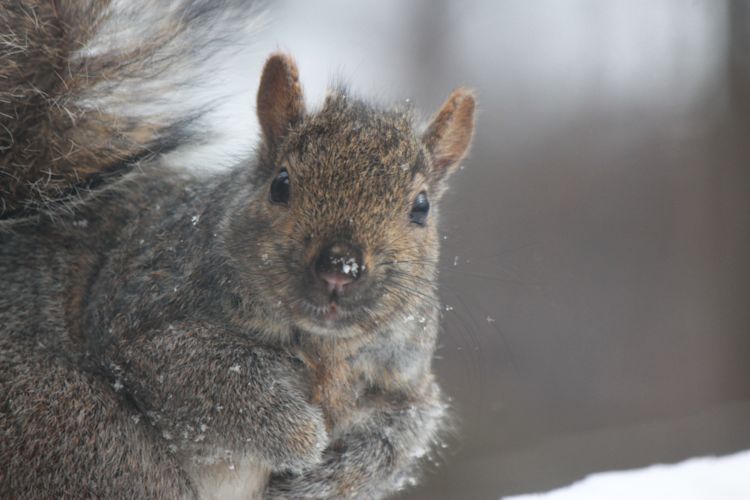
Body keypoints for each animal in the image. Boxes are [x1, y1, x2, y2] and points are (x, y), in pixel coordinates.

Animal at [0, 1, 475, 498]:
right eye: (280, 185)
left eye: (421, 207)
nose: (340, 268)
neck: (324, 349)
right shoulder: (143, 318)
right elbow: (208, 377)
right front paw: (303, 438)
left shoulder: (403, 381)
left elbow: (401, 435)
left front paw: (327, 478)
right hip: (84, 436)